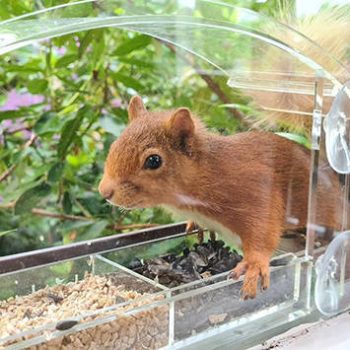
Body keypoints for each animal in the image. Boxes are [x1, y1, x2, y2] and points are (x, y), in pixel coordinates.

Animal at [98, 95, 342, 298]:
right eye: (115, 144)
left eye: (154, 160)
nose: (104, 191)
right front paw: (195, 224)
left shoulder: (257, 191)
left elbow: (264, 230)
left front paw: (254, 265)